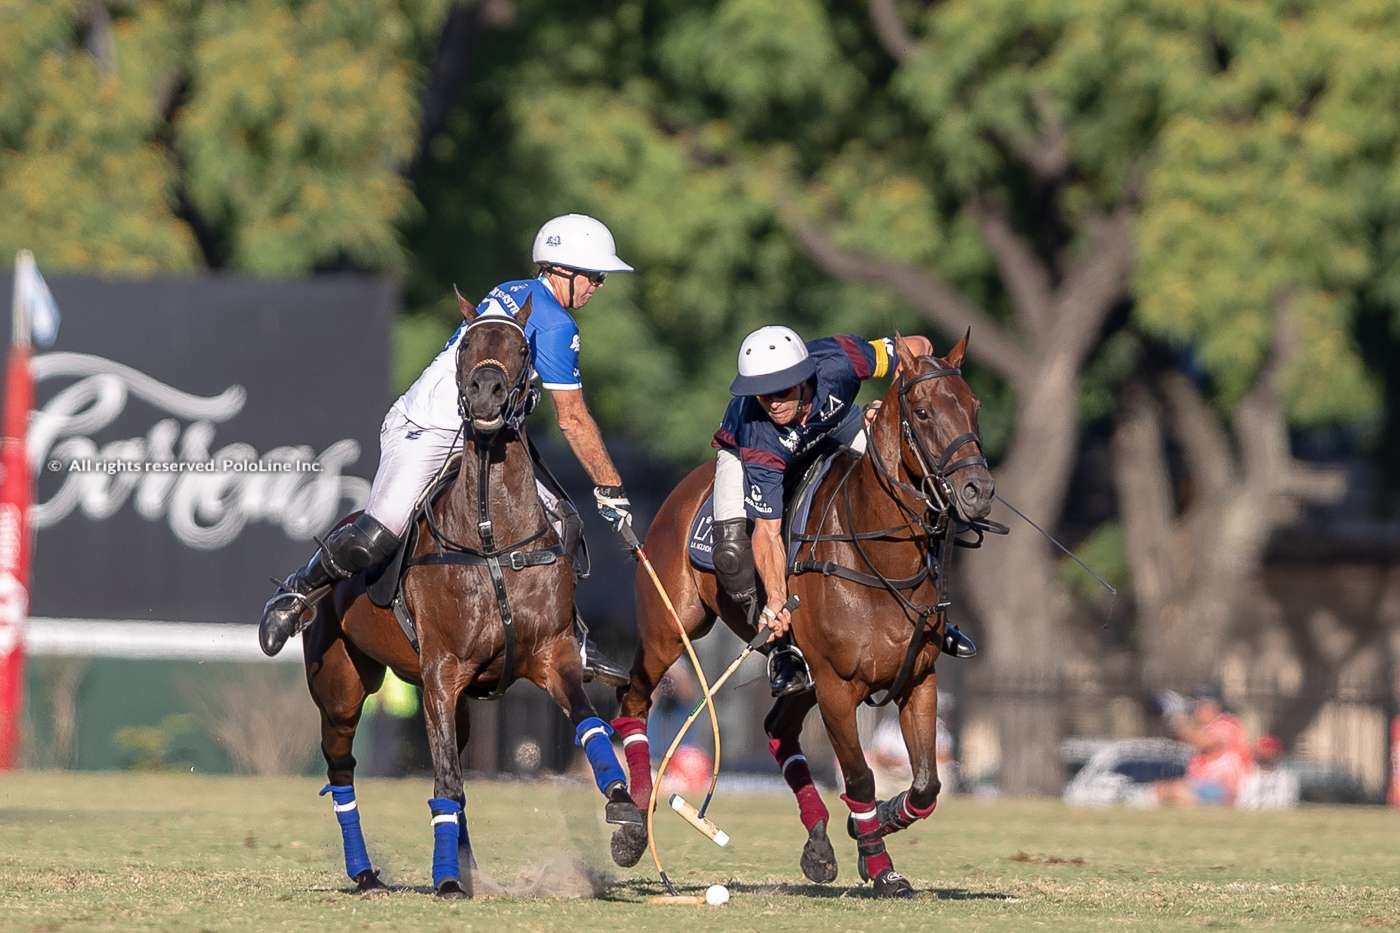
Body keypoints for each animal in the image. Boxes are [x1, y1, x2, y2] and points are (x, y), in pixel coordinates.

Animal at [303, 294, 641, 896]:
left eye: (523, 350)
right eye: (465, 346)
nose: (486, 392)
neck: (489, 537)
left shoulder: (551, 656)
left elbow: (590, 727)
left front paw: (625, 816)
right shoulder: (440, 672)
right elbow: (448, 785)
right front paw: (444, 879)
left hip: (452, 702)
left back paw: (460, 866)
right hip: (340, 686)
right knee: (342, 770)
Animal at [613, 334, 996, 896]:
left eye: (974, 406)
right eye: (923, 413)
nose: (978, 492)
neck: (877, 554)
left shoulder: (918, 679)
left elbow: (927, 784)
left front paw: (875, 824)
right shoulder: (838, 687)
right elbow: (860, 777)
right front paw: (881, 867)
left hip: (804, 676)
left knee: (778, 726)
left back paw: (819, 844)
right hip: (672, 627)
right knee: (634, 699)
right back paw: (632, 824)